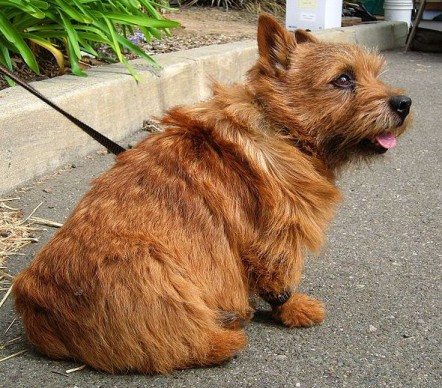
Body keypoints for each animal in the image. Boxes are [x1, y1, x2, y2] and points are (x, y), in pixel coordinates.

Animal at [14, 14, 414, 372]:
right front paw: (292, 308)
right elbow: (279, 276)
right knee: (178, 345)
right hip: (155, 270)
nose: (404, 103)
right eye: (343, 79)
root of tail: (35, 306)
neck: (282, 127)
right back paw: (227, 335)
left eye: (375, 73)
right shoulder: (274, 233)